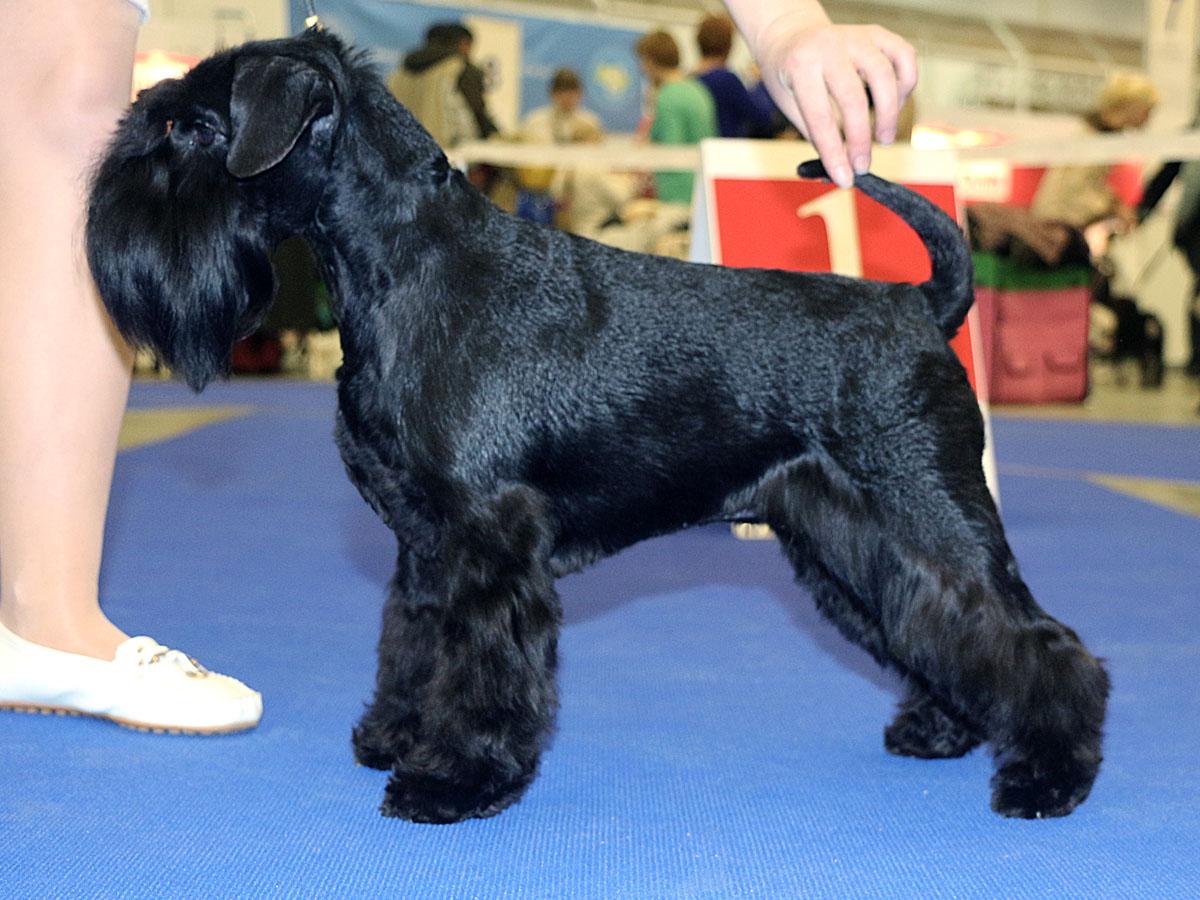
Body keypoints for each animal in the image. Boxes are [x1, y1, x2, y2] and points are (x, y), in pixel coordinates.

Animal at [87, 29, 1108, 824]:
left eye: (188, 125)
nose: (100, 219)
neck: (412, 266)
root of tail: (919, 305)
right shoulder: (424, 544)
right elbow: (414, 645)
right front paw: (397, 737)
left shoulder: (489, 543)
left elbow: (483, 665)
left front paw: (455, 779)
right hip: (847, 539)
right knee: (937, 629)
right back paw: (942, 729)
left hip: (928, 516)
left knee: (1034, 641)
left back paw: (1049, 776)